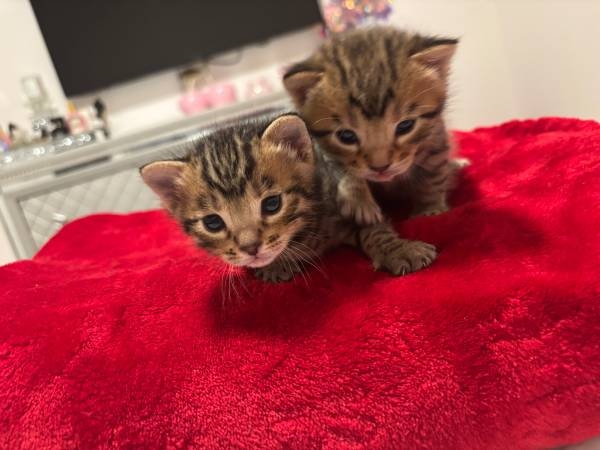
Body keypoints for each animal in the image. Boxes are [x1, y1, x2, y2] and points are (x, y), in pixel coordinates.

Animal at [140, 113, 436, 283]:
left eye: (272, 204)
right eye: (213, 223)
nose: (250, 248)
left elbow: (374, 229)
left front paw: (400, 250)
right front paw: (279, 263)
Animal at [283, 26, 464, 225]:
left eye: (406, 126)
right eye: (346, 136)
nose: (380, 168)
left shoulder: (435, 138)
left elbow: (433, 176)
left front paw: (430, 209)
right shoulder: (321, 150)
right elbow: (342, 167)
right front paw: (359, 201)